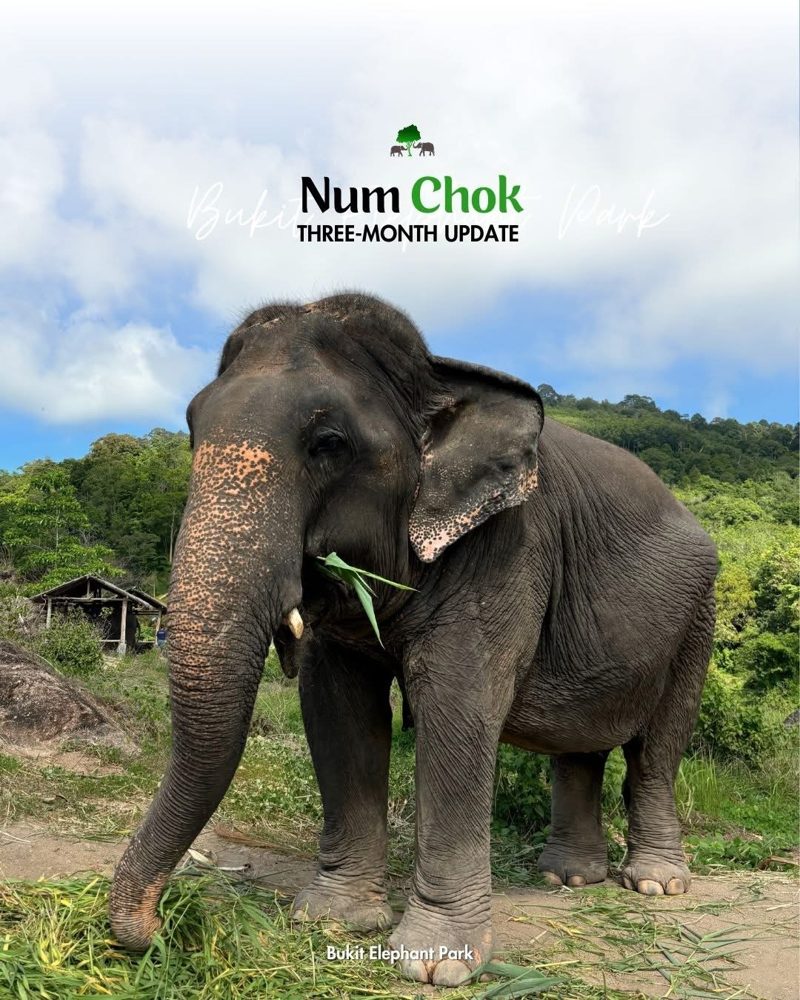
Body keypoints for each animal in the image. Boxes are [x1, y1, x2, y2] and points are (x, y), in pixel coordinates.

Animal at [109, 293, 717, 987]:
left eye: (327, 443)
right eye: (190, 431)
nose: (157, 930)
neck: (439, 375)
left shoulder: (506, 550)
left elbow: (457, 707)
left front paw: (434, 966)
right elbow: (340, 709)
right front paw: (332, 922)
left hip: (698, 618)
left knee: (658, 746)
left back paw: (656, 885)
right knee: (580, 746)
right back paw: (567, 878)